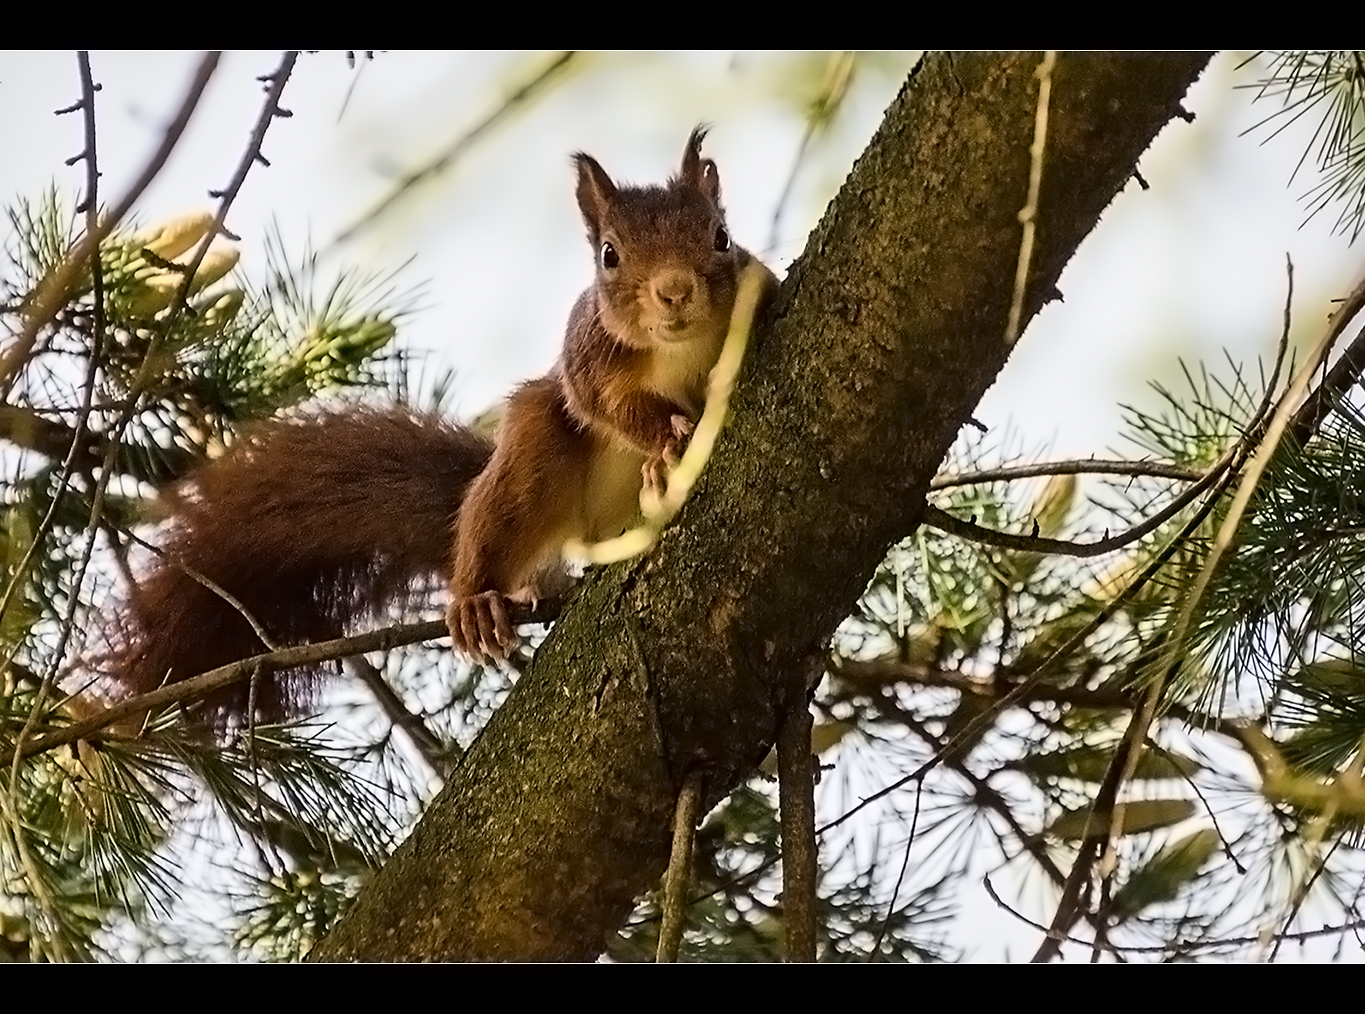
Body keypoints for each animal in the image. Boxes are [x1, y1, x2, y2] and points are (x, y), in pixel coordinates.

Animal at [101, 126, 775, 726]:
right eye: (609, 255)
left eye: (721, 237)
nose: (674, 291)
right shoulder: (588, 360)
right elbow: (608, 409)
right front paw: (664, 442)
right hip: (532, 453)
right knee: (499, 512)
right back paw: (478, 598)